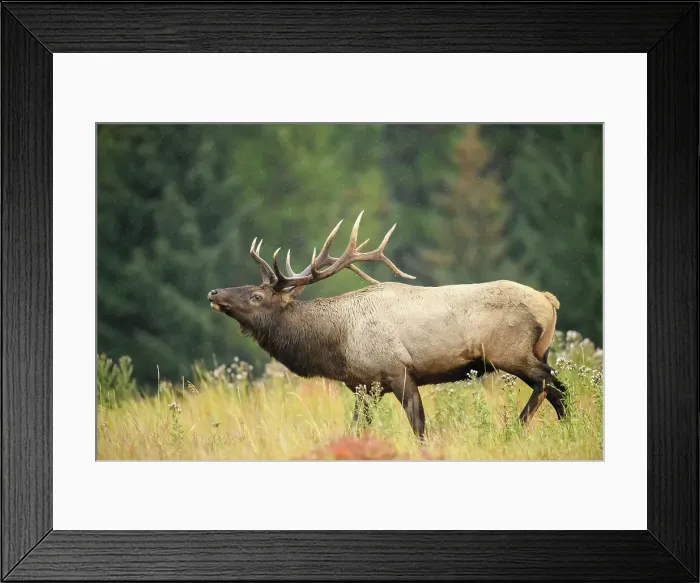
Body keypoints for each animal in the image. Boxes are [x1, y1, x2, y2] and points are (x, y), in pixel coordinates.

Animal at [207, 211, 568, 439]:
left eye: (256, 296)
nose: (213, 292)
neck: (337, 345)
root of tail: (549, 300)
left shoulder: (398, 370)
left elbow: (418, 425)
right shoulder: (365, 386)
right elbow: (356, 427)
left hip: (511, 352)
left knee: (548, 384)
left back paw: (517, 428)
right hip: (539, 351)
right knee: (557, 389)